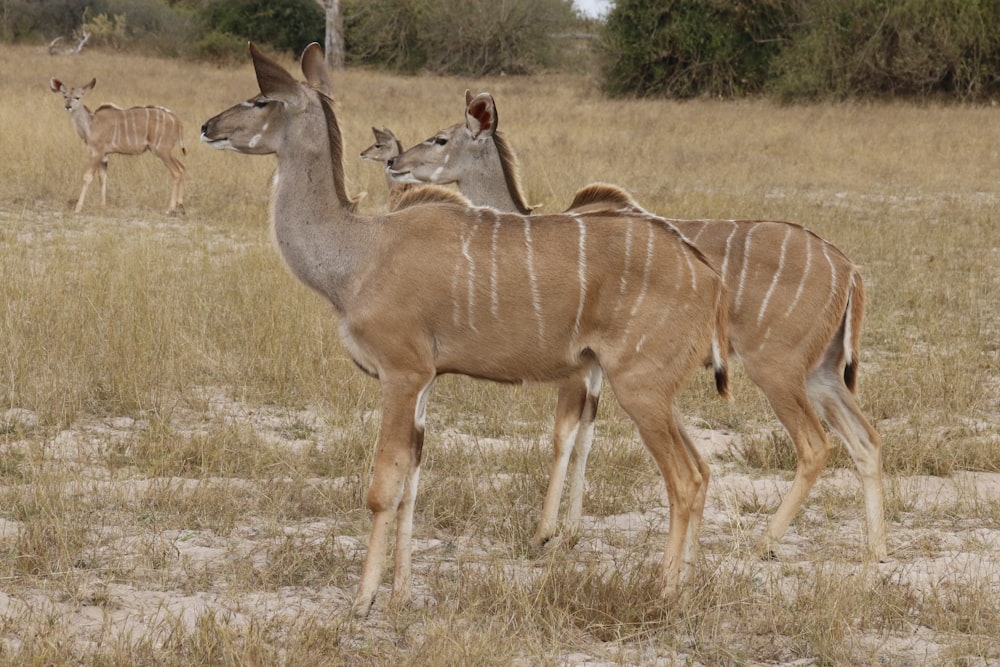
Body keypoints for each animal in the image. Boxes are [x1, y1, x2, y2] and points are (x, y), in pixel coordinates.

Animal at [49, 78, 186, 214]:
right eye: (65, 96)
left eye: (77, 97)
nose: (68, 106)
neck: (91, 124)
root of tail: (177, 120)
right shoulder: (104, 155)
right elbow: (102, 178)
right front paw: (103, 206)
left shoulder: (97, 153)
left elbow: (87, 177)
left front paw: (78, 208)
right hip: (165, 151)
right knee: (182, 167)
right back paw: (180, 205)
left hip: (162, 151)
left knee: (176, 172)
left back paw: (170, 208)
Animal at [203, 43, 732, 620]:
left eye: (261, 99)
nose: (207, 126)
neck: (360, 254)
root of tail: (709, 277)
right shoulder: (426, 380)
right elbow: (413, 477)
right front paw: (401, 593)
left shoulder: (401, 373)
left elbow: (384, 484)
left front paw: (363, 600)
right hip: (658, 391)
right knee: (702, 469)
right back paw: (685, 585)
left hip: (638, 386)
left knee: (683, 479)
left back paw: (664, 593)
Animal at [386, 88, 888, 564]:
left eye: (440, 138)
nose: (394, 163)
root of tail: (849, 269)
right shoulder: (597, 367)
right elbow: (587, 435)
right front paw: (571, 532)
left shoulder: (581, 367)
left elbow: (564, 435)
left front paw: (546, 533)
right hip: (819, 371)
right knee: (865, 440)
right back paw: (875, 549)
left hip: (776, 368)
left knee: (815, 445)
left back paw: (764, 543)